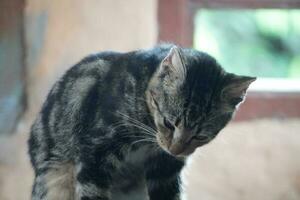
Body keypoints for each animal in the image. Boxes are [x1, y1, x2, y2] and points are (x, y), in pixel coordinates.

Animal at [27, 44, 255, 200]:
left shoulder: (166, 171)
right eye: (169, 123)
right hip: (54, 177)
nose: (175, 150)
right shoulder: (95, 153)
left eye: (200, 136)